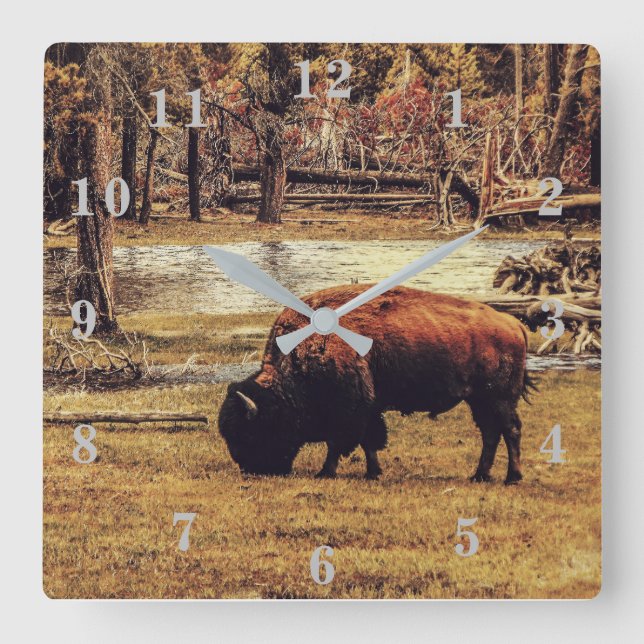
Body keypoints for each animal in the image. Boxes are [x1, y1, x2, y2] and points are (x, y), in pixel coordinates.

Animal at [218, 284, 533, 484]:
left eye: (250, 433)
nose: (252, 469)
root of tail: (513, 324)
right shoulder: (368, 408)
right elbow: (368, 441)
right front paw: (373, 472)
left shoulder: (350, 409)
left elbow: (342, 442)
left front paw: (326, 472)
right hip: (480, 400)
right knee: (491, 433)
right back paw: (480, 475)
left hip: (499, 399)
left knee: (510, 430)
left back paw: (512, 477)